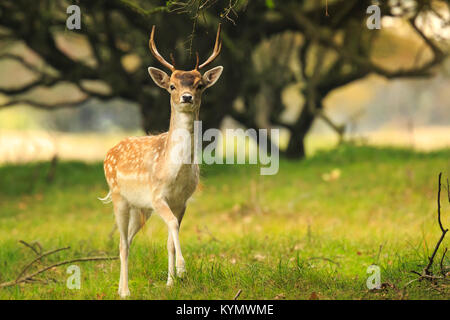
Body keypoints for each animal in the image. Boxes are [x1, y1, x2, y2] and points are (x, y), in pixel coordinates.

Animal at [100, 24, 223, 298]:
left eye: (200, 85)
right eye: (172, 86)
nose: (187, 97)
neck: (174, 173)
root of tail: (108, 152)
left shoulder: (181, 201)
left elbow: (170, 239)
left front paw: (171, 281)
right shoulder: (157, 196)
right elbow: (173, 227)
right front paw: (182, 270)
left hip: (141, 208)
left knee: (129, 240)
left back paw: (121, 288)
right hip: (119, 198)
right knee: (122, 243)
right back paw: (125, 291)